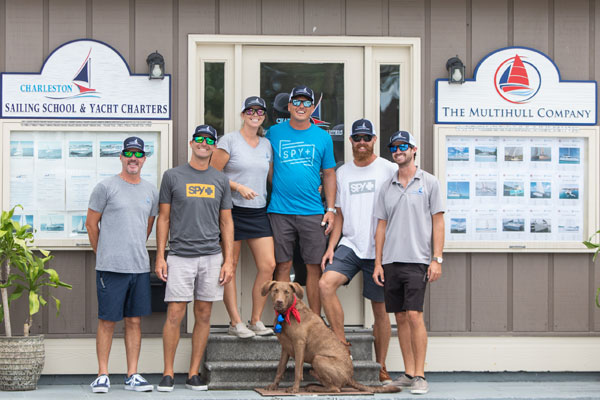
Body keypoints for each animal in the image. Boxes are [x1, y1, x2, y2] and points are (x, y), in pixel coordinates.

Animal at [260, 282, 400, 394]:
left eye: (287, 292)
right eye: (275, 290)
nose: (279, 302)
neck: (286, 314)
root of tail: (350, 377)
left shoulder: (299, 344)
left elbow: (297, 370)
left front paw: (295, 389)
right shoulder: (285, 348)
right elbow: (280, 369)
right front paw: (274, 385)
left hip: (318, 359)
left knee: (335, 388)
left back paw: (315, 387)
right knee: (332, 385)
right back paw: (313, 384)